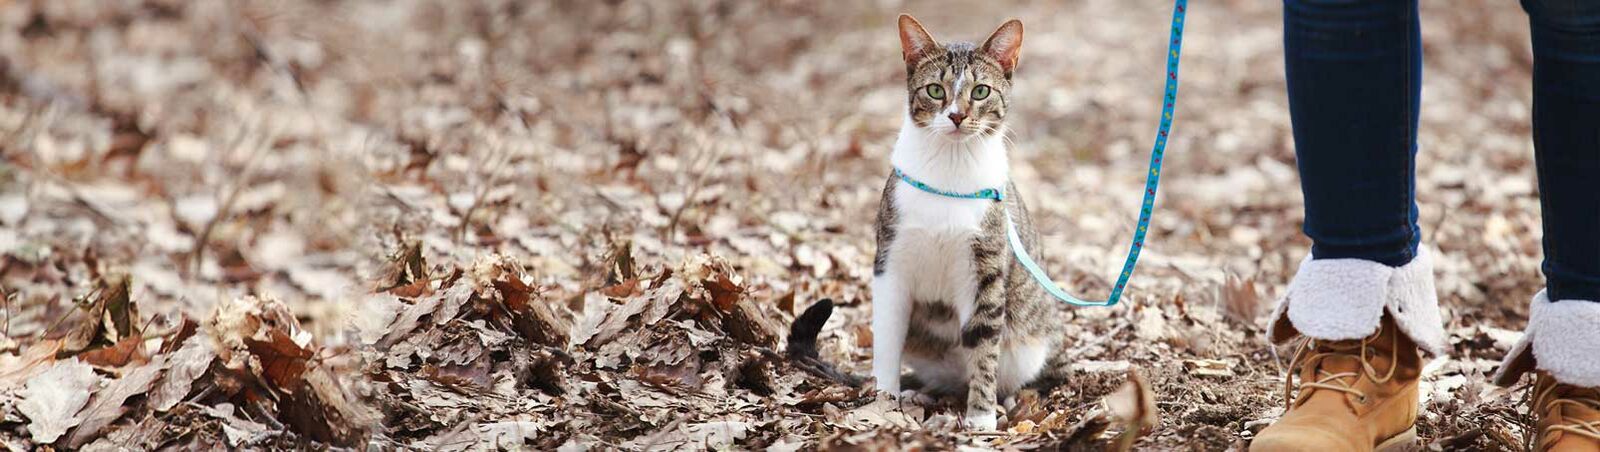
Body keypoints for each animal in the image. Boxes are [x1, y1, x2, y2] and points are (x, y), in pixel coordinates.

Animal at [870, 14, 1068, 429]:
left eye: (980, 92)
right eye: (934, 90)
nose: (957, 115)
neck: (950, 166)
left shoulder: (984, 268)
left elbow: (983, 344)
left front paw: (980, 417)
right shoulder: (890, 261)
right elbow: (887, 333)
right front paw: (882, 399)